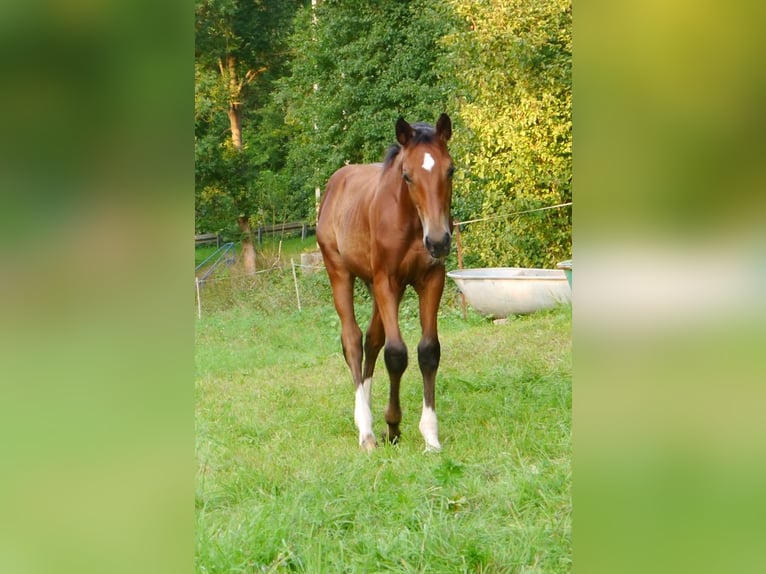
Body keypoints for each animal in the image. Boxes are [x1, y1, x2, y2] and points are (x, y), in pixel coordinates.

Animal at [318, 113, 456, 454]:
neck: (411, 223)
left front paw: (429, 437)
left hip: (377, 285)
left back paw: (365, 413)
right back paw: (366, 430)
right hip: (340, 272)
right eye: (407, 175)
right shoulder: (388, 281)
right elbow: (396, 353)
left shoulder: (431, 279)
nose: (438, 241)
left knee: (372, 339)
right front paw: (392, 424)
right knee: (353, 341)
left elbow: (428, 351)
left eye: (451, 170)